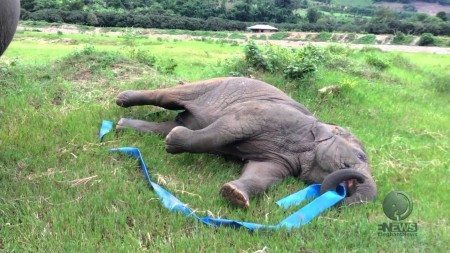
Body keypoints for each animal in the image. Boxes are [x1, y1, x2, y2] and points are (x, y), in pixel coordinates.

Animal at [116, 77, 376, 208]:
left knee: (165, 126)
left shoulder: (283, 159)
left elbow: (264, 173)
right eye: (361, 156)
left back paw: (121, 125)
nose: (358, 179)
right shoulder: (264, 113)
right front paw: (173, 143)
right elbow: (227, 128)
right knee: (166, 97)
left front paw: (234, 195)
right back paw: (122, 99)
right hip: (207, 86)